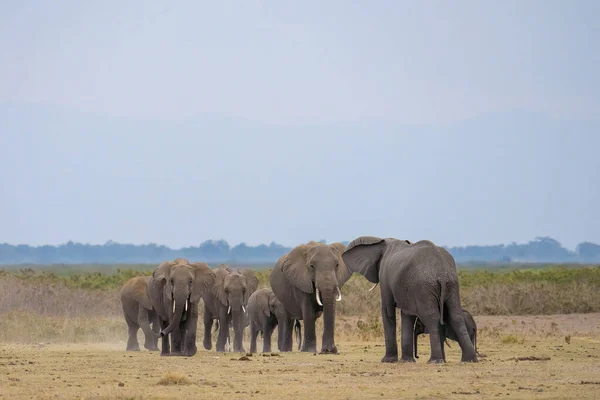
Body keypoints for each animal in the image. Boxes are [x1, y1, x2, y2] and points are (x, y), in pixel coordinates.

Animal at [342, 238, 478, 366]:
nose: (417, 357)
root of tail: (442, 272)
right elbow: (407, 314)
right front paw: (406, 361)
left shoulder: (385, 276)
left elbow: (388, 311)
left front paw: (387, 361)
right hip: (452, 284)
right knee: (456, 316)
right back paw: (469, 360)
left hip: (424, 287)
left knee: (432, 317)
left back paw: (435, 361)